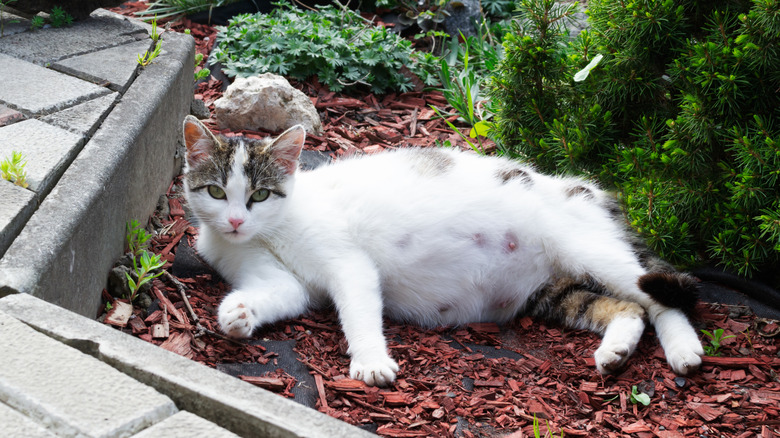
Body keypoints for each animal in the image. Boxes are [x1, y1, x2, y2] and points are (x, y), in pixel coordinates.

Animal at [180, 114, 704, 384]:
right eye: (215, 192)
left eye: (259, 196)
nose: (235, 221)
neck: (270, 232)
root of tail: (590, 192)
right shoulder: (283, 281)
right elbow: (276, 293)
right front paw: (238, 314)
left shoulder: (348, 264)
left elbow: (359, 309)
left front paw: (371, 362)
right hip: (553, 290)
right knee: (628, 307)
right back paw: (616, 350)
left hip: (589, 249)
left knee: (662, 297)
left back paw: (685, 350)